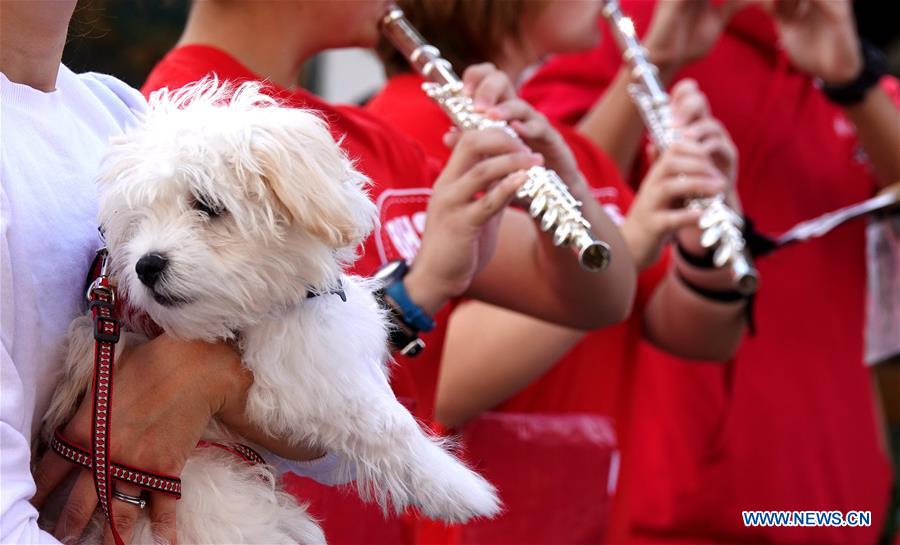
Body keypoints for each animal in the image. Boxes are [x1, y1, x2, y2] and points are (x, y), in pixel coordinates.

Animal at [42, 81, 500, 544]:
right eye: (138, 220)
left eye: (207, 205)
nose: (146, 265)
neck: (251, 315)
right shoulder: (297, 373)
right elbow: (387, 423)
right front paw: (460, 489)